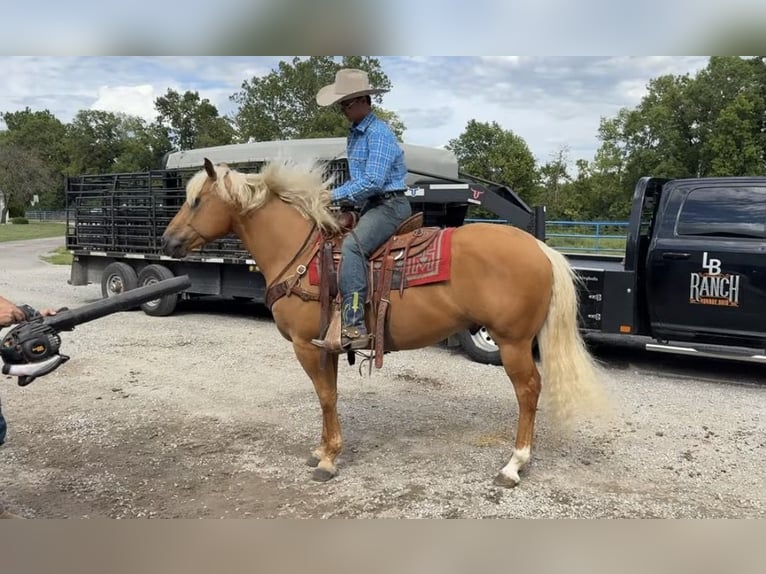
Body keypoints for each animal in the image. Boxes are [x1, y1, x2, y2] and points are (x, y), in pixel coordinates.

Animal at [161, 158, 607, 487]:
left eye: (197, 200)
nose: (167, 241)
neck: (301, 255)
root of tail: (539, 248)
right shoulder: (327, 346)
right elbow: (329, 396)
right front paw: (322, 450)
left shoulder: (305, 346)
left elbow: (325, 397)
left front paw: (329, 460)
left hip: (512, 343)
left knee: (528, 391)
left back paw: (514, 465)